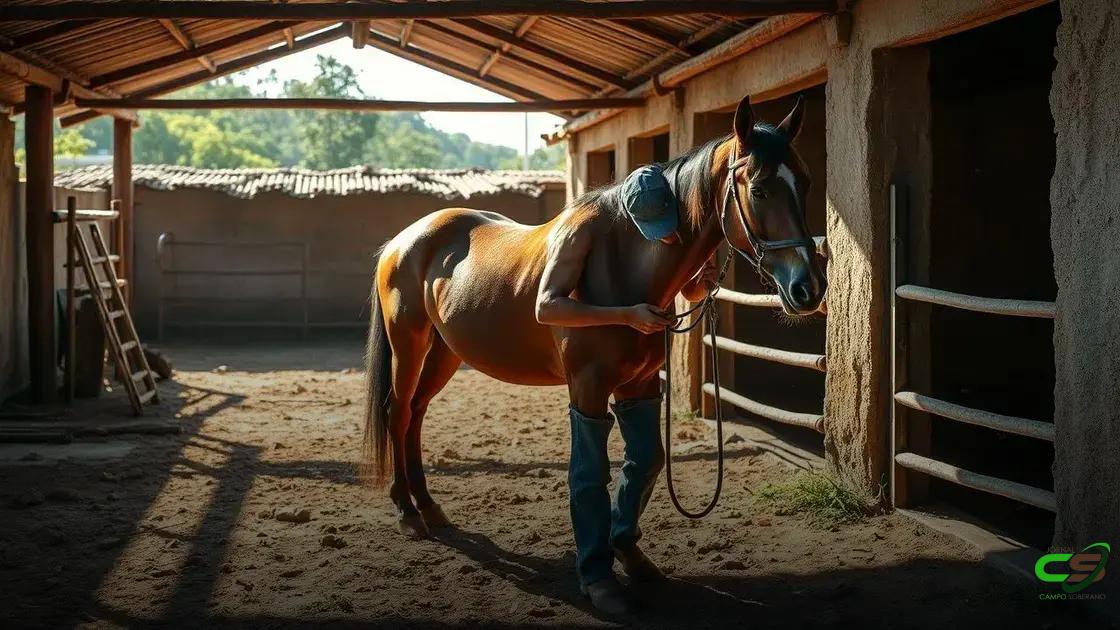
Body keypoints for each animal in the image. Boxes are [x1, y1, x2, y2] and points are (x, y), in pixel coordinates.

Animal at [361, 95, 826, 538]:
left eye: (804, 183)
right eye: (760, 190)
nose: (809, 287)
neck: (623, 262)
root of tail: (401, 241)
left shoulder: (639, 381)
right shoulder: (587, 383)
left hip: (445, 351)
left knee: (417, 412)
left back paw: (428, 506)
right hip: (410, 344)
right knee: (397, 411)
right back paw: (407, 511)